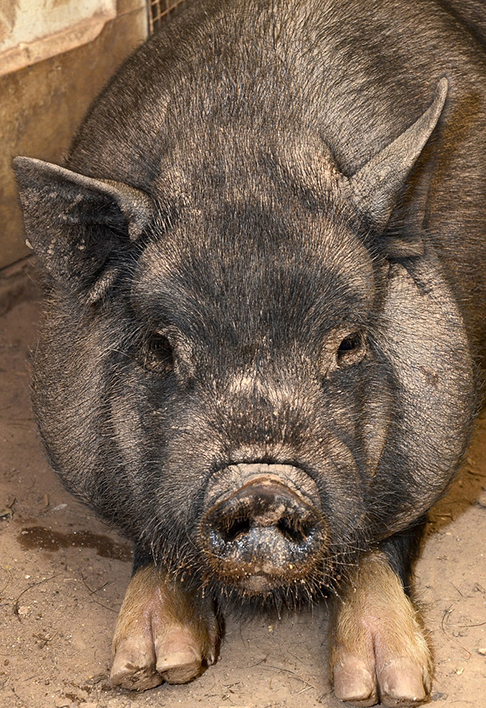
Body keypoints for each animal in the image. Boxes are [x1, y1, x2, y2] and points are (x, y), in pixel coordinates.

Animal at [13, 0, 486, 705]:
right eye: (160, 344)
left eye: (349, 342)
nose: (262, 486)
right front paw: (152, 668)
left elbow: (382, 539)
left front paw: (388, 686)